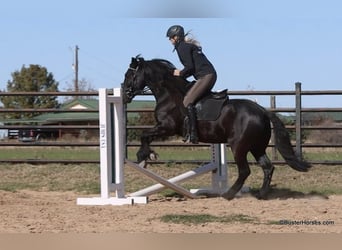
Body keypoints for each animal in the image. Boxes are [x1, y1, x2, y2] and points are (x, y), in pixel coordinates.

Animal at [123, 56, 312, 199]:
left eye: (129, 75)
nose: (125, 95)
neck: (169, 94)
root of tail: (262, 111)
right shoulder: (164, 128)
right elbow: (146, 136)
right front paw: (148, 155)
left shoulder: (167, 127)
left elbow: (144, 135)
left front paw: (144, 157)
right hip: (257, 147)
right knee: (267, 167)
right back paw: (261, 194)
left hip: (239, 146)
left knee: (245, 170)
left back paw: (228, 194)